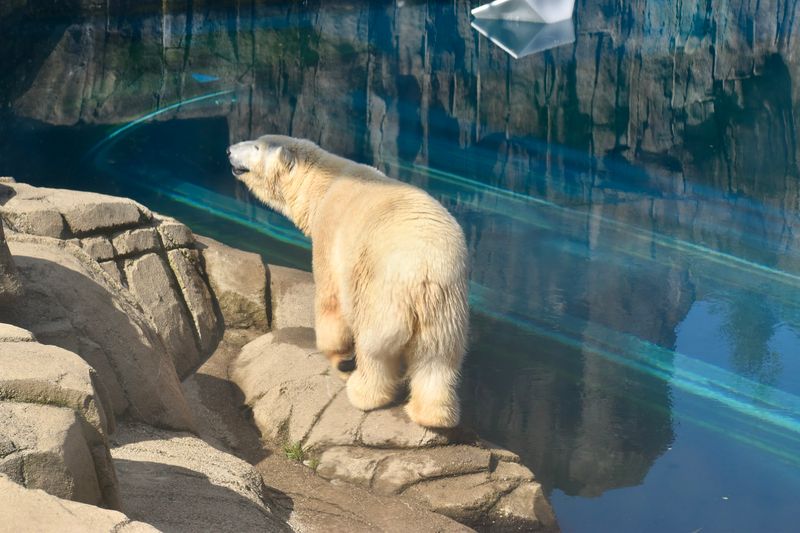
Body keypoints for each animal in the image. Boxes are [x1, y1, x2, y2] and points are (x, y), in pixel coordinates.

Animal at [227, 135, 469, 428]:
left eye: (256, 147)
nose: (228, 150)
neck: (323, 182)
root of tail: (424, 273)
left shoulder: (330, 233)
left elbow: (330, 297)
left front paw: (334, 353)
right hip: (445, 307)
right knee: (437, 360)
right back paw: (432, 416)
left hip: (381, 292)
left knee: (375, 350)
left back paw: (362, 391)